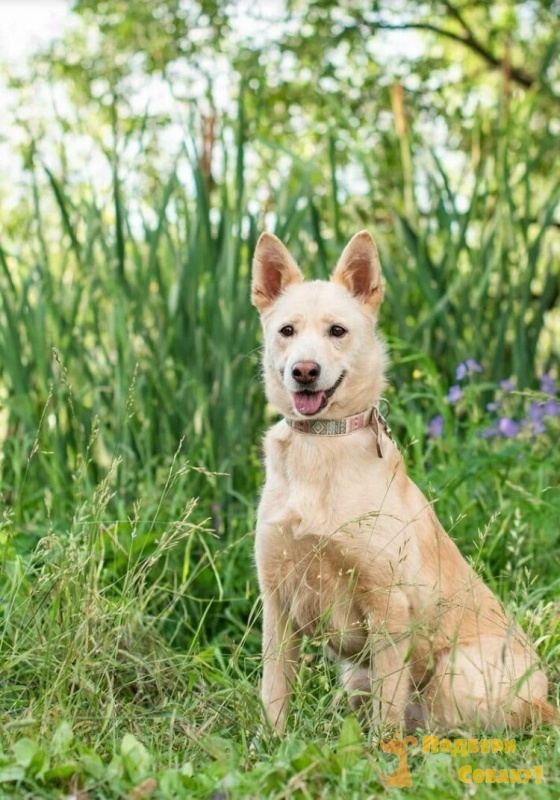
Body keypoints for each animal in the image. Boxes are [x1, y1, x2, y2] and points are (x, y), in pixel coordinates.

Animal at [252, 228, 552, 736]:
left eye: (337, 332)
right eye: (286, 331)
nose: (304, 371)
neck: (321, 445)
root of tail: (549, 704)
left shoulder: (389, 611)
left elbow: (387, 712)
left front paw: (378, 751)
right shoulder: (276, 604)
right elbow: (273, 690)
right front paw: (268, 744)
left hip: (453, 679)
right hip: (356, 679)